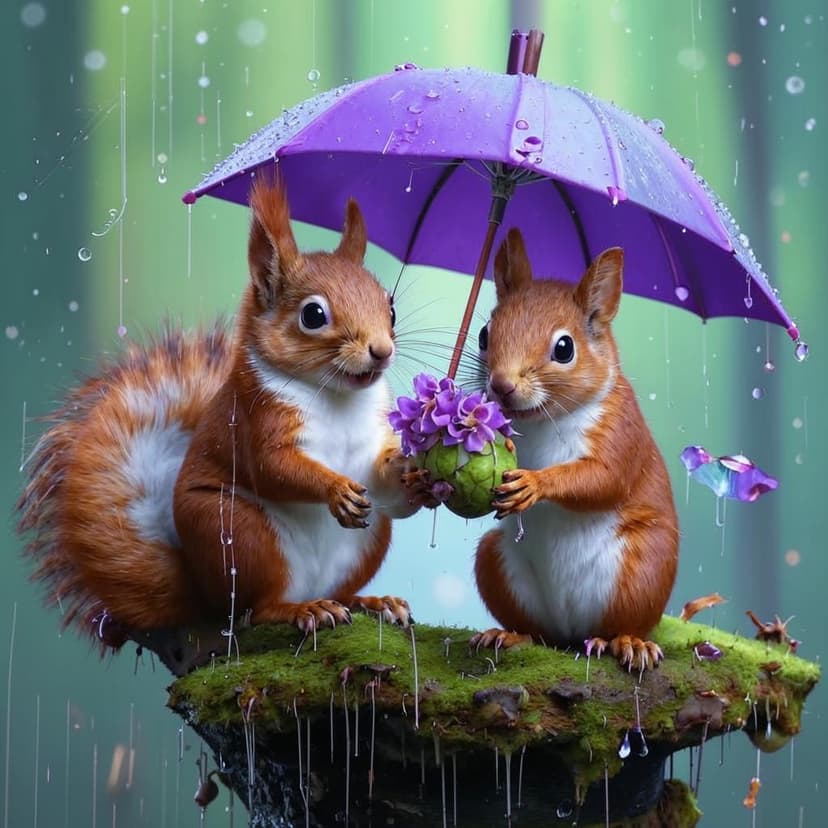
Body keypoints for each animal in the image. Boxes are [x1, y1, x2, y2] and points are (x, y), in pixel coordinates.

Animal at [17, 178, 419, 676]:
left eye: (390, 307)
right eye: (313, 315)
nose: (382, 351)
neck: (336, 397)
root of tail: (203, 597)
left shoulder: (372, 440)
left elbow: (383, 485)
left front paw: (410, 469)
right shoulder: (253, 421)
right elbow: (273, 468)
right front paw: (335, 490)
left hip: (367, 539)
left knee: (336, 589)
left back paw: (370, 602)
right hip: (237, 534)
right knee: (253, 610)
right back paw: (301, 609)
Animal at [470, 228, 679, 671]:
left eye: (564, 348)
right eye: (483, 335)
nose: (501, 385)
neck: (542, 420)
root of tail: (572, 632)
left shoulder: (620, 431)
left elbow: (601, 478)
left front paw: (534, 484)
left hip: (643, 568)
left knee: (623, 625)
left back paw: (628, 642)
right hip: (495, 562)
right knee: (540, 633)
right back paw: (510, 635)